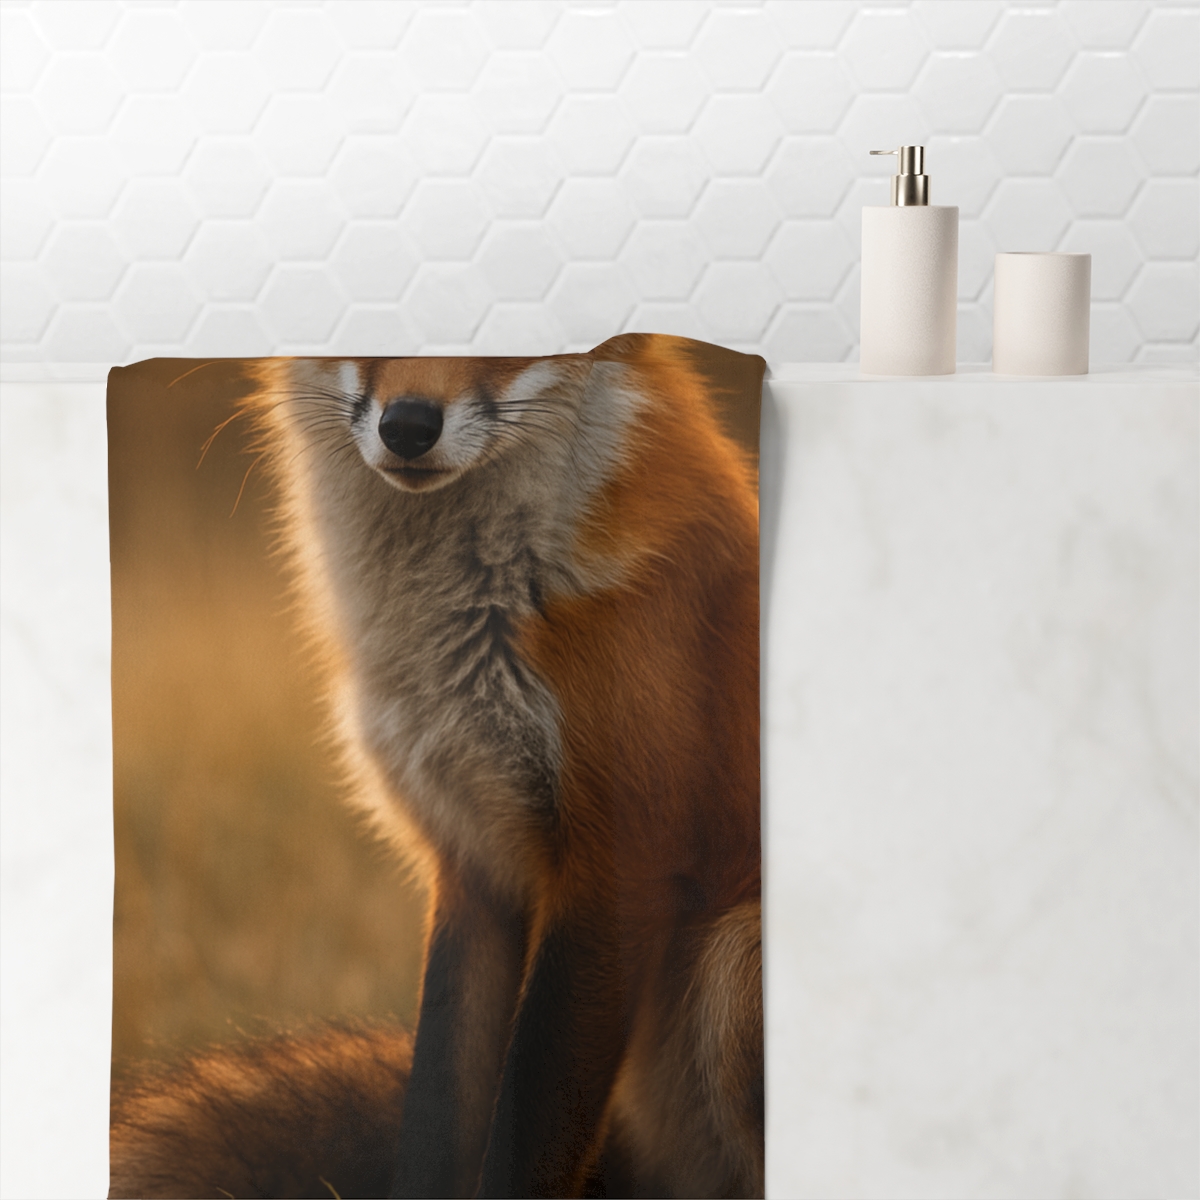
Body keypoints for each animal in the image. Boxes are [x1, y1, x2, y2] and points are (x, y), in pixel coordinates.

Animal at [110, 334, 763, 1199]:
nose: (410, 426)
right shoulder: (471, 859)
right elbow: (435, 1116)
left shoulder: (618, 869)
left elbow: (528, 1136)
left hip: (732, 969)